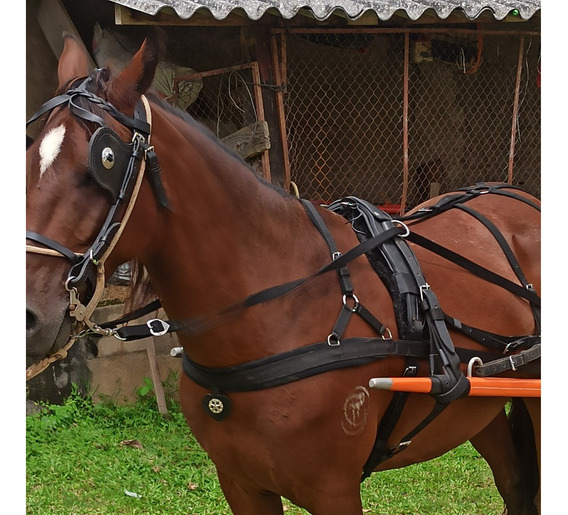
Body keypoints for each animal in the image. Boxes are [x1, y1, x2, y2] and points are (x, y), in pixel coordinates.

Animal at [26, 33, 540, 515]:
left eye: (105, 161)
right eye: (29, 156)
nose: (28, 317)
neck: (278, 313)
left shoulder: (334, 491)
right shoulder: (241, 485)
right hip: (477, 406)